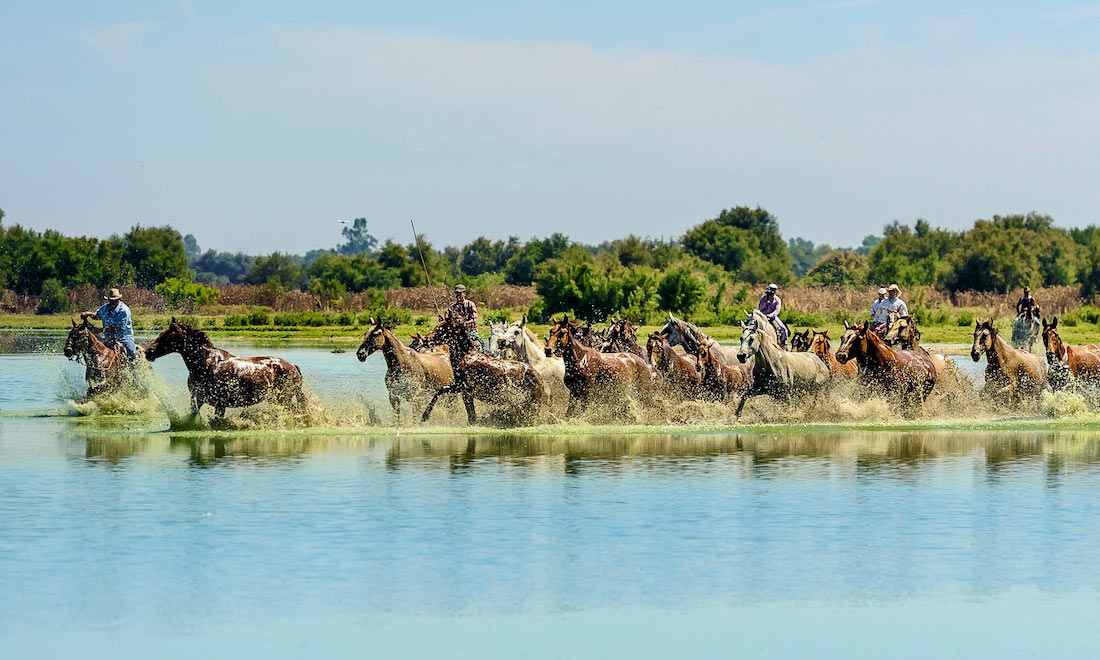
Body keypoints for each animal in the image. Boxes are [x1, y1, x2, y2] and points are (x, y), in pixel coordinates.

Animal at [145, 318, 305, 419]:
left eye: (166, 336)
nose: (148, 352)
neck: (204, 364)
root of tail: (294, 367)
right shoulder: (197, 399)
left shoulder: (220, 404)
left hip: (283, 399)